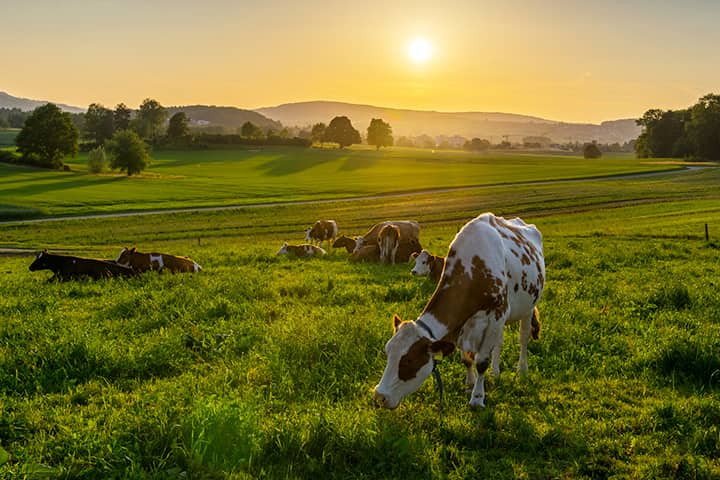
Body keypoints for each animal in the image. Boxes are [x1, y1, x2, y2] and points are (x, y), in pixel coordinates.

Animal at [372, 214, 544, 408]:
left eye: (409, 360)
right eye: (387, 353)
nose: (379, 396)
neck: (475, 267)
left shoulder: (496, 315)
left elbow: (481, 361)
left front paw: (477, 398)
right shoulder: (462, 322)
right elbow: (467, 359)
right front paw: (470, 384)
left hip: (528, 307)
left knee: (523, 337)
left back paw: (522, 370)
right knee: (499, 342)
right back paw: (496, 372)